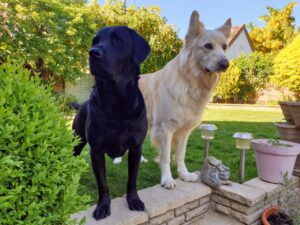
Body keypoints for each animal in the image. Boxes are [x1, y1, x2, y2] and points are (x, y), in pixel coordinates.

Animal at [70, 26, 150, 220]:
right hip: (77, 140)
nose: (93, 52)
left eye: (118, 41)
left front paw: (134, 200)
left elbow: (132, 179)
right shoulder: (96, 151)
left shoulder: (136, 149)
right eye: (95, 41)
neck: (117, 101)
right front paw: (103, 206)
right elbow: (103, 184)